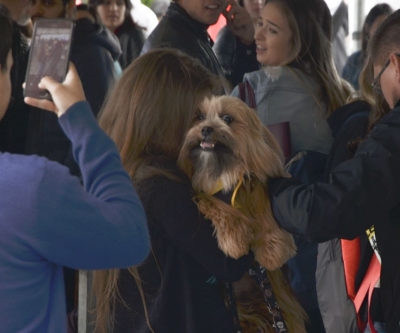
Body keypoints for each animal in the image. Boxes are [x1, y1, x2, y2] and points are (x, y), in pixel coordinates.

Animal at [178, 94, 306, 330]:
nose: (205, 128)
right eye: (199, 117)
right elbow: (217, 206)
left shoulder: (253, 183)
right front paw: (235, 241)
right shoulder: (202, 193)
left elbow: (263, 207)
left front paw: (273, 249)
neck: (223, 168)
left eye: (227, 118)